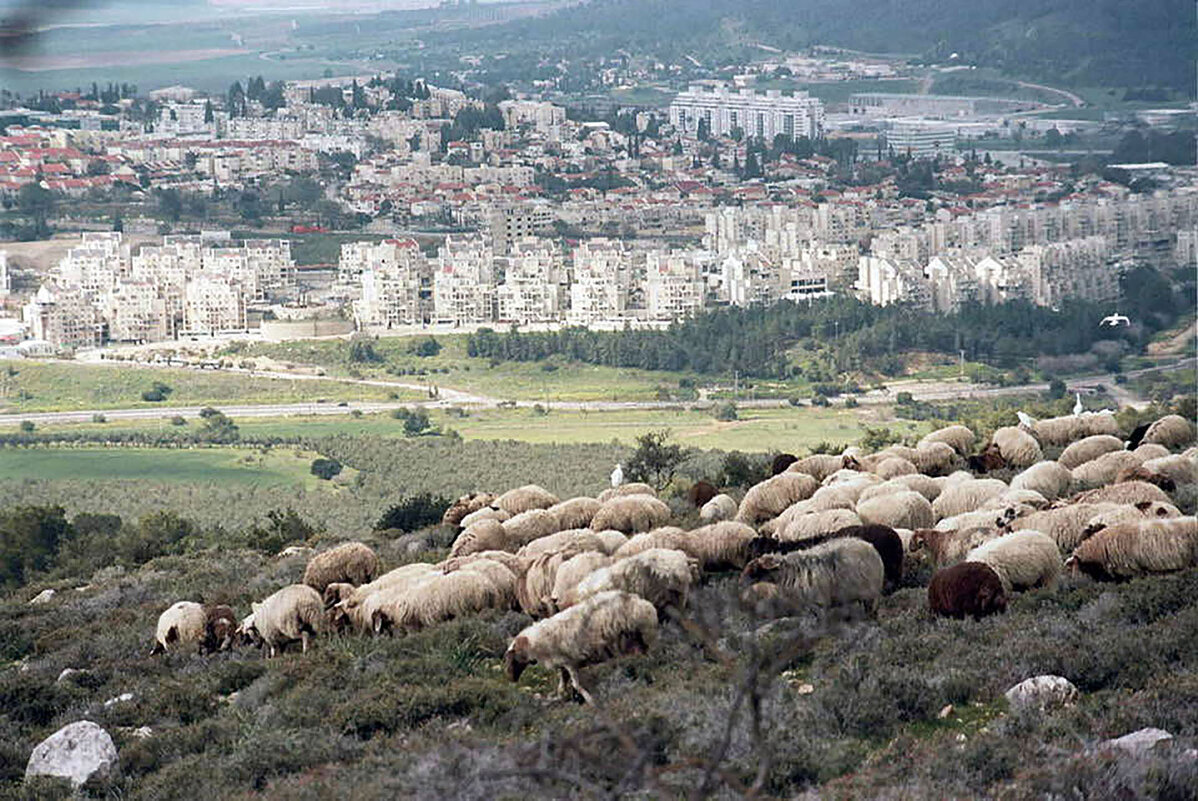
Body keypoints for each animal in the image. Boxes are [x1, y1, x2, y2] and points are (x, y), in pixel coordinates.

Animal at [503, 586, 661, 704]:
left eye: (511, 657)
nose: (510, 678)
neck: (539, 640)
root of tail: (638, 600)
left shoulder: (570, 662)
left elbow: (576, 685)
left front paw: (590, 700)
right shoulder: (563, 664)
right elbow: (563, 685)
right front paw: (564, 697)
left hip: (642, 635)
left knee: (650, 655)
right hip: (637, 640)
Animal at [742, 536, 886, 617]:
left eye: (754, 569)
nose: (740, 582)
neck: (789, 571)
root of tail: (872, 548)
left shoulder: (818, 603)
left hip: (871, 594)